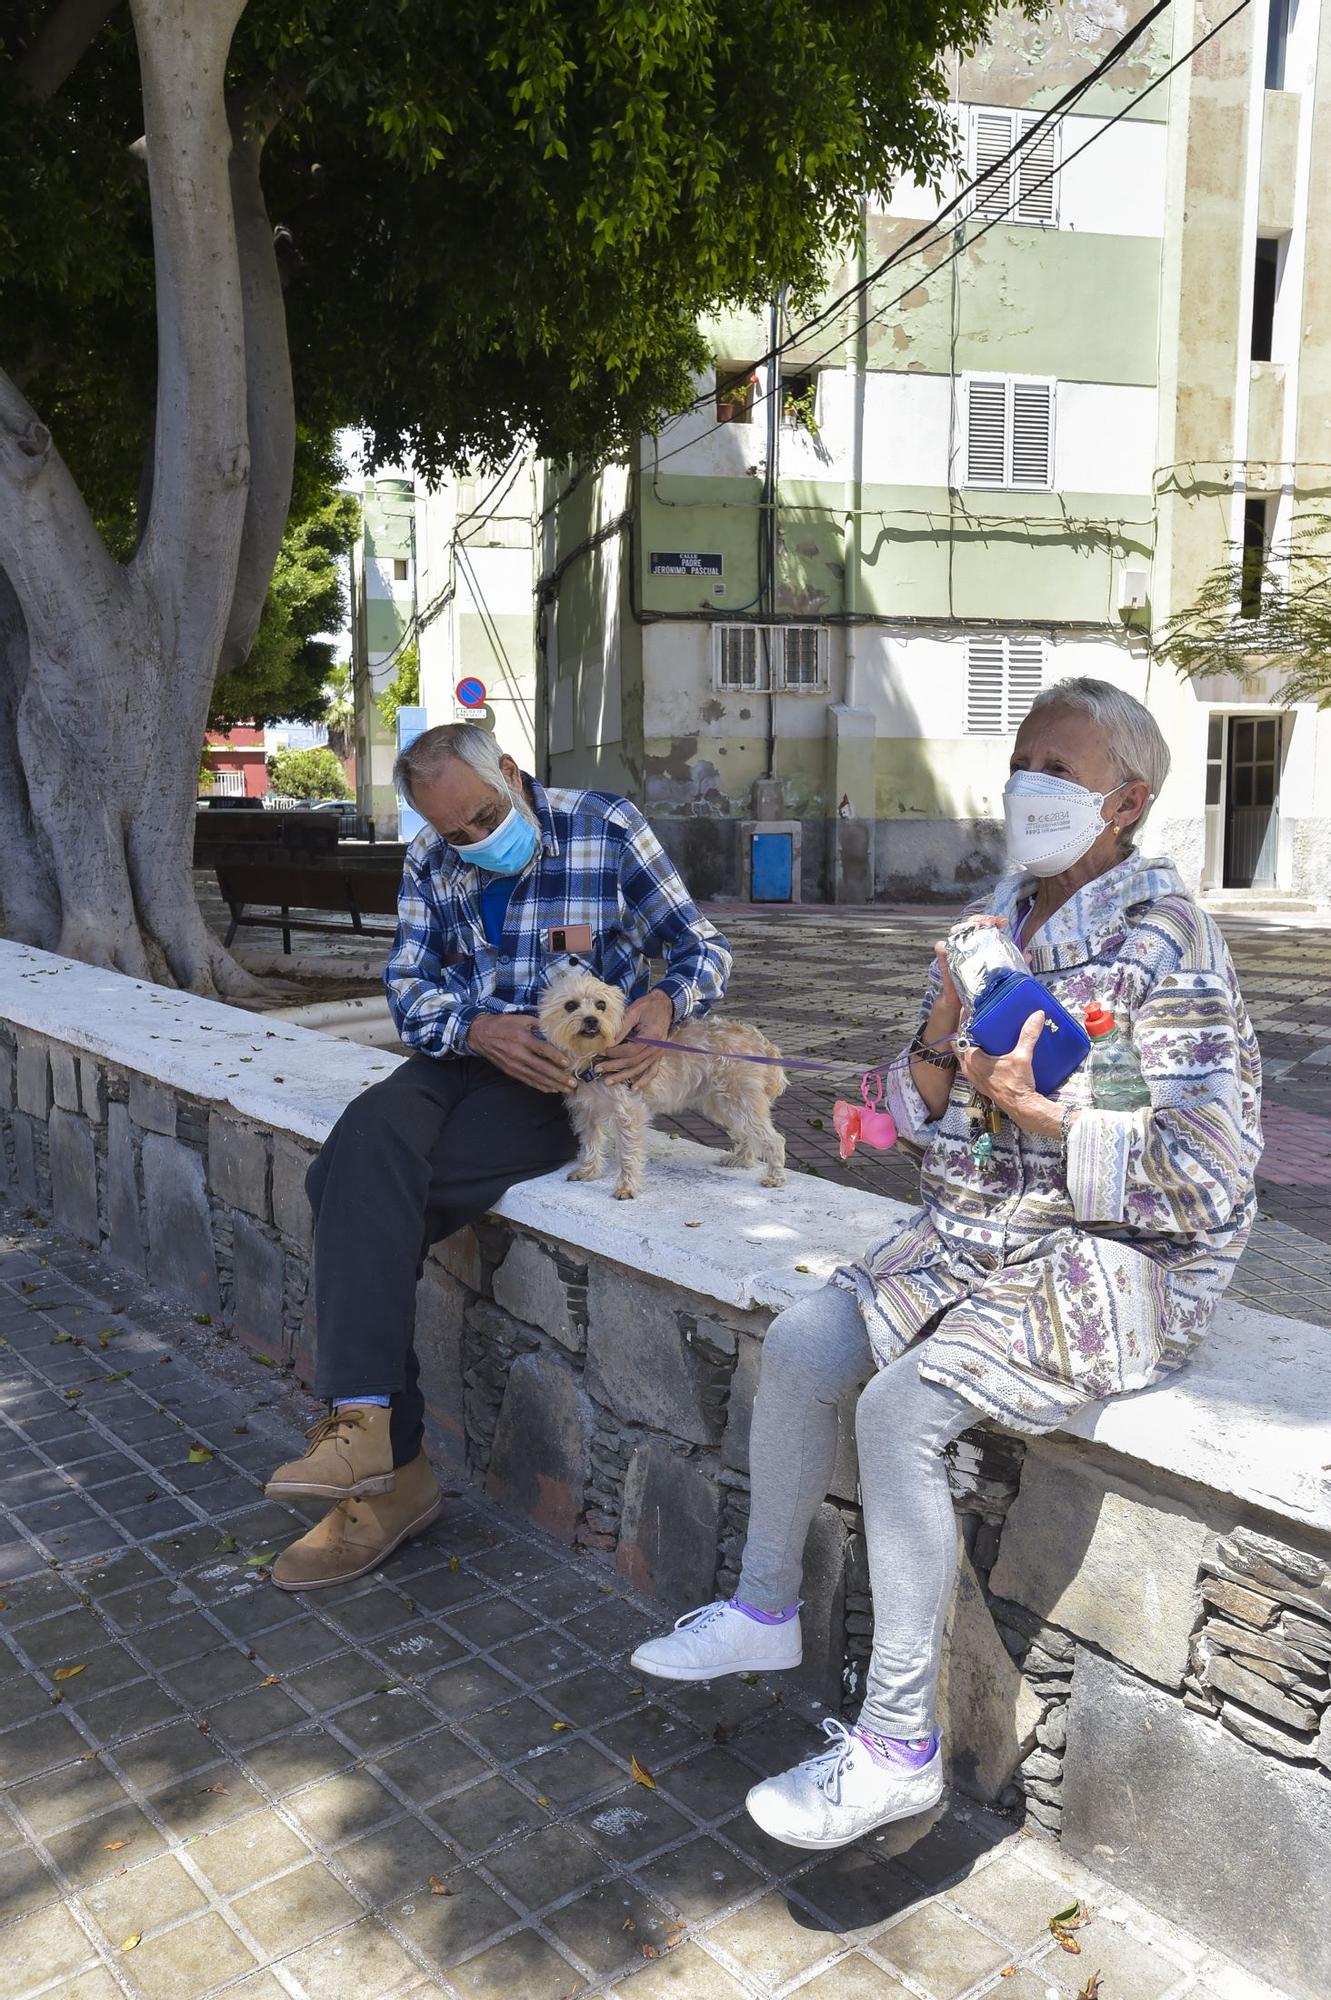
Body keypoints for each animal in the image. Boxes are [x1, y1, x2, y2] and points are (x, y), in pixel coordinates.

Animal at [539, 960, 783, 1192]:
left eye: (601, 1005)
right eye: (570, 1006)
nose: (591, 1020)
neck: (591, 1057)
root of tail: (761, 1043)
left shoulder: (629, 1112)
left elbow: (628, 1152)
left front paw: (626, 1187)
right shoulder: (587, 1112)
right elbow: (591, 1144)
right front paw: (589, 1171)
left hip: (739, 1101)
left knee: (773, 1138)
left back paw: (775, 1176)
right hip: (722, 1104)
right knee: (748, 1134)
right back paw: (742, 1159)